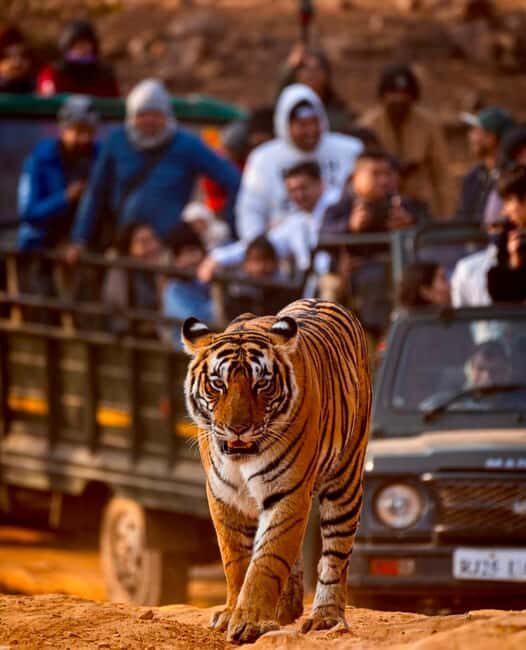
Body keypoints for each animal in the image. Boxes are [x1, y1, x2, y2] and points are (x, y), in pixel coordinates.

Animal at [182, 299, 371, 644]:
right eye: (218, 384)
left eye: (262, 384)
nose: (238, 428)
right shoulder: (222, 494)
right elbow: (236, 559)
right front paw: (232, 612)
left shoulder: (288, 491)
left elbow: (267, 561)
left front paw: (250, 621)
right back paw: (286, 608)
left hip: (346, 480)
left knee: (335, 555)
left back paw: (325, 617)